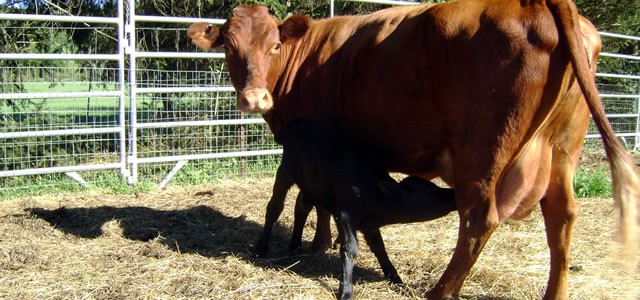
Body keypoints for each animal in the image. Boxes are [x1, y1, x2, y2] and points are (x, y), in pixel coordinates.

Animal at [188, 1, 636, 298]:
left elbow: (306, 201)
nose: (254, 98)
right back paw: (555, 293)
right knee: (562, 217)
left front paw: (313, 243)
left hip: (482, 152)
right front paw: (320, 242)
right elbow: (317, 202)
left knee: (479, 220)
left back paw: (440, 291)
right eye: (229, 47)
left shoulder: (314, 146)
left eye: (274, 45)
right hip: (562, 152)